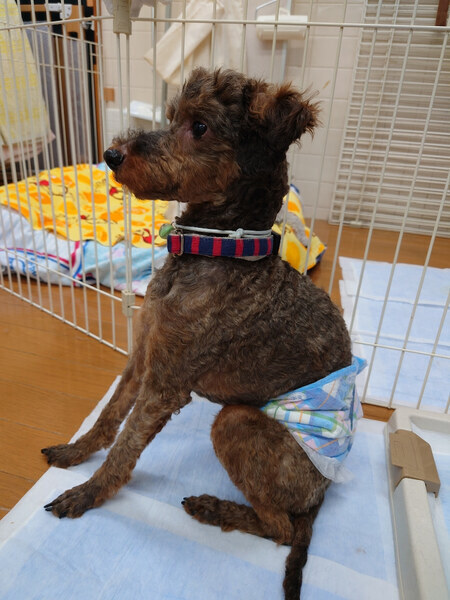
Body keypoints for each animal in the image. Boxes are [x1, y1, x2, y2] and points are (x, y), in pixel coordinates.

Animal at [42, 68, 353, 599]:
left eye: (200, 126)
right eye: (170, 118)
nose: (112, 154)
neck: (217, 250)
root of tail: (321, 496)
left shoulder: (166, 386)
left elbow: (124, 449)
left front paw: (87, 493)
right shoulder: (143, 357)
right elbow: (107, 419)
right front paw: (75, 454)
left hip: (235, 422)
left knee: (280, 528)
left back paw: (213, 508)